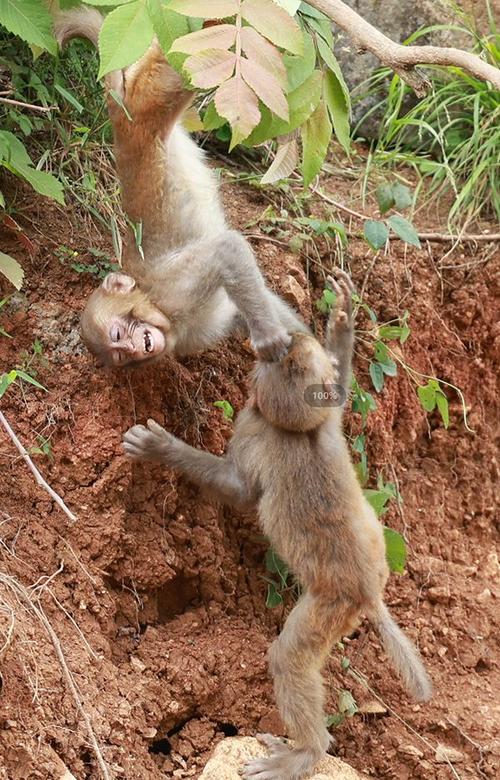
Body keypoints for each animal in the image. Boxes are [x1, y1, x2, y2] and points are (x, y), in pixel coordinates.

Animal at [54, 6, 304, 366]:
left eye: (118, 333)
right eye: (120, 356)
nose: (134, 347)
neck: (158, 309)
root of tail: (119, 118)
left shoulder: (173, 292)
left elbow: (227, 249)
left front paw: (269, 338)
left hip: (150, 95)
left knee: (181, 64)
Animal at [123, 270, 432, 780]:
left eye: (273, 359)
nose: (278, 335)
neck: (299, 431)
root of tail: (367, 591)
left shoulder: (255, 431)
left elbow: (241, 490)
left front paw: (159, 447)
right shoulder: (327, 419)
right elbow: (339, 392)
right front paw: (342, 323)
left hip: (329, 609)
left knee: (289, 660)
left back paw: (306, 751)